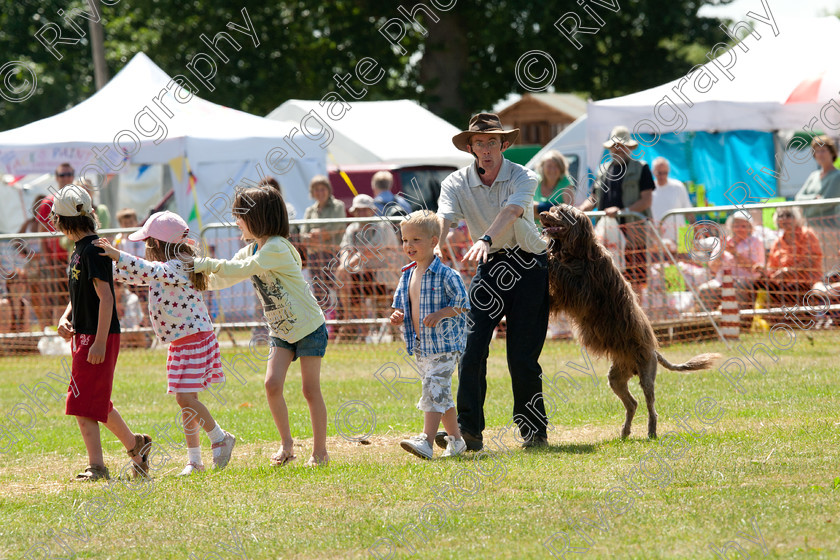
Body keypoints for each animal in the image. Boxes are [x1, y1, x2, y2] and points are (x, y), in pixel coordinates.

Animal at [540, 203, 720, 440]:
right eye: (553, 209)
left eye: (560, 213)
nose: (541, 214)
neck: (579, 253)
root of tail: (654, 352)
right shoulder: (566, 295)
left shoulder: (583, 289)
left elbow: (563, 271)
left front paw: (546, 254)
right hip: (616, 377)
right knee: (632, 404)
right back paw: (625, 432)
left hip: (646, 376)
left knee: (651, 407)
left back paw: (651, 431)